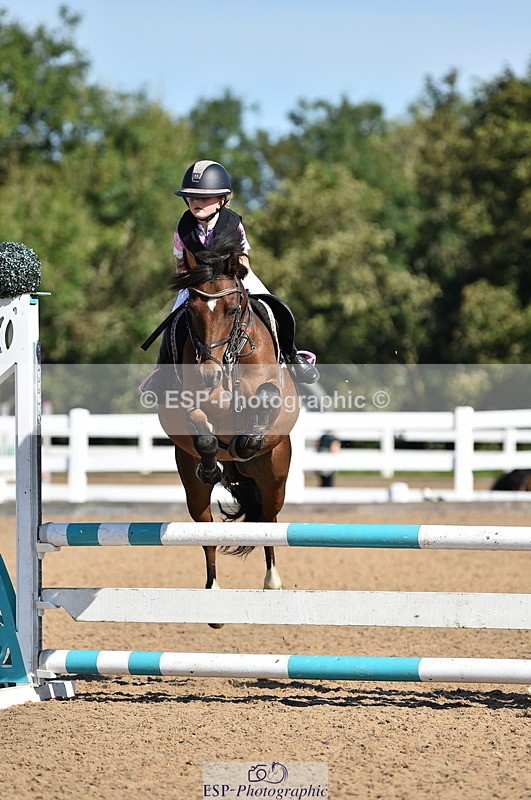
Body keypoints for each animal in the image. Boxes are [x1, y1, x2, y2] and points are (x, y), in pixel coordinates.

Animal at [156, 227, 299, 619]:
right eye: (191, 310)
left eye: (233, 309)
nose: (209, 374)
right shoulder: (187, 405)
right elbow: (201, 428)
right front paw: (212, 462)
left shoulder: (270, 391)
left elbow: (266, 396)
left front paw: (246, 442)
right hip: (190, 483)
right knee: (205, 531)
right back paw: (214, 594)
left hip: (275, 475)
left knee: (267, 520)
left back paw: (273, 582)